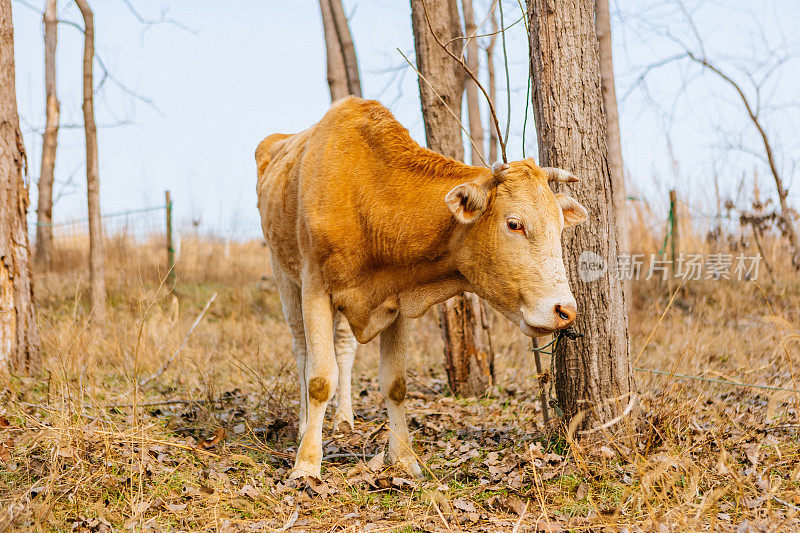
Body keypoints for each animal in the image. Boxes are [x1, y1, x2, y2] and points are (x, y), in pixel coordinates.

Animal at [256, 97, 588, 480]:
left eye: (560, 225)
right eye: (514, 224)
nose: (565, 310)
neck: (370, 200)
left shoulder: (397, 299)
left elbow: (395, 383)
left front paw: (402, 458)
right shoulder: (315, 289)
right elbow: (320, 378)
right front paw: (307, 463)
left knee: (343, 349)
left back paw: (344, 420)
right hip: (284, 275)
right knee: (302, 351)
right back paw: (302, 425)